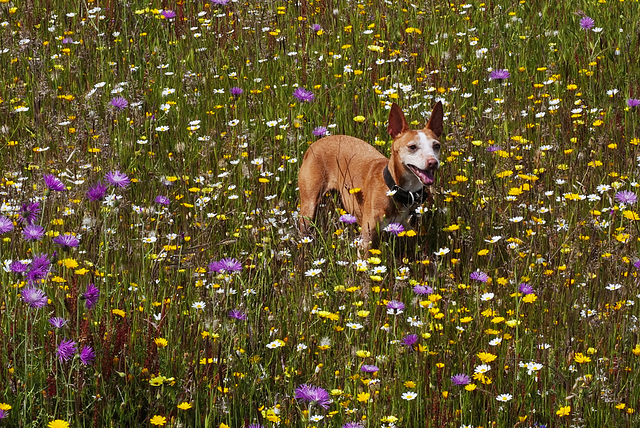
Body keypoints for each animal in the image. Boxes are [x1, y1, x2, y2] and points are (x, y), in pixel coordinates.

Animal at [298, 102, 442, 251]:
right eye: (412, 147)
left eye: (437, 146)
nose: (433, 162)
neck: (396, 190)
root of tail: (314, 145)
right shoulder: (367, 242)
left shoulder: (410, 234)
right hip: (309, 208)